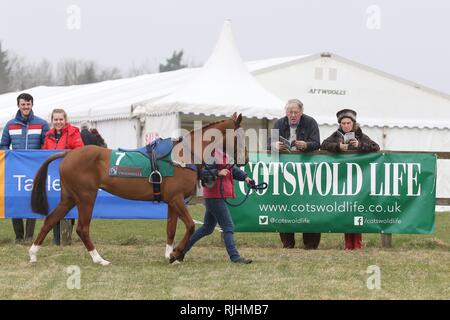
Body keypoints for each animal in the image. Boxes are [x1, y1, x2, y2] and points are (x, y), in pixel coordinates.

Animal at [28, 112, 246, 264]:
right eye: (240, 136)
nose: (245, 160)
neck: (183, 156)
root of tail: (68, 154)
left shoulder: (172, 201)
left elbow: (171, 229)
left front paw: (170, 254)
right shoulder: (177, 199)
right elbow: (191, 226)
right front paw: (175, 254)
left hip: (69, 198)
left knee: (50, 220)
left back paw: (33, 254)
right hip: (86, 198)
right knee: (82, 228)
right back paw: (99, 259)